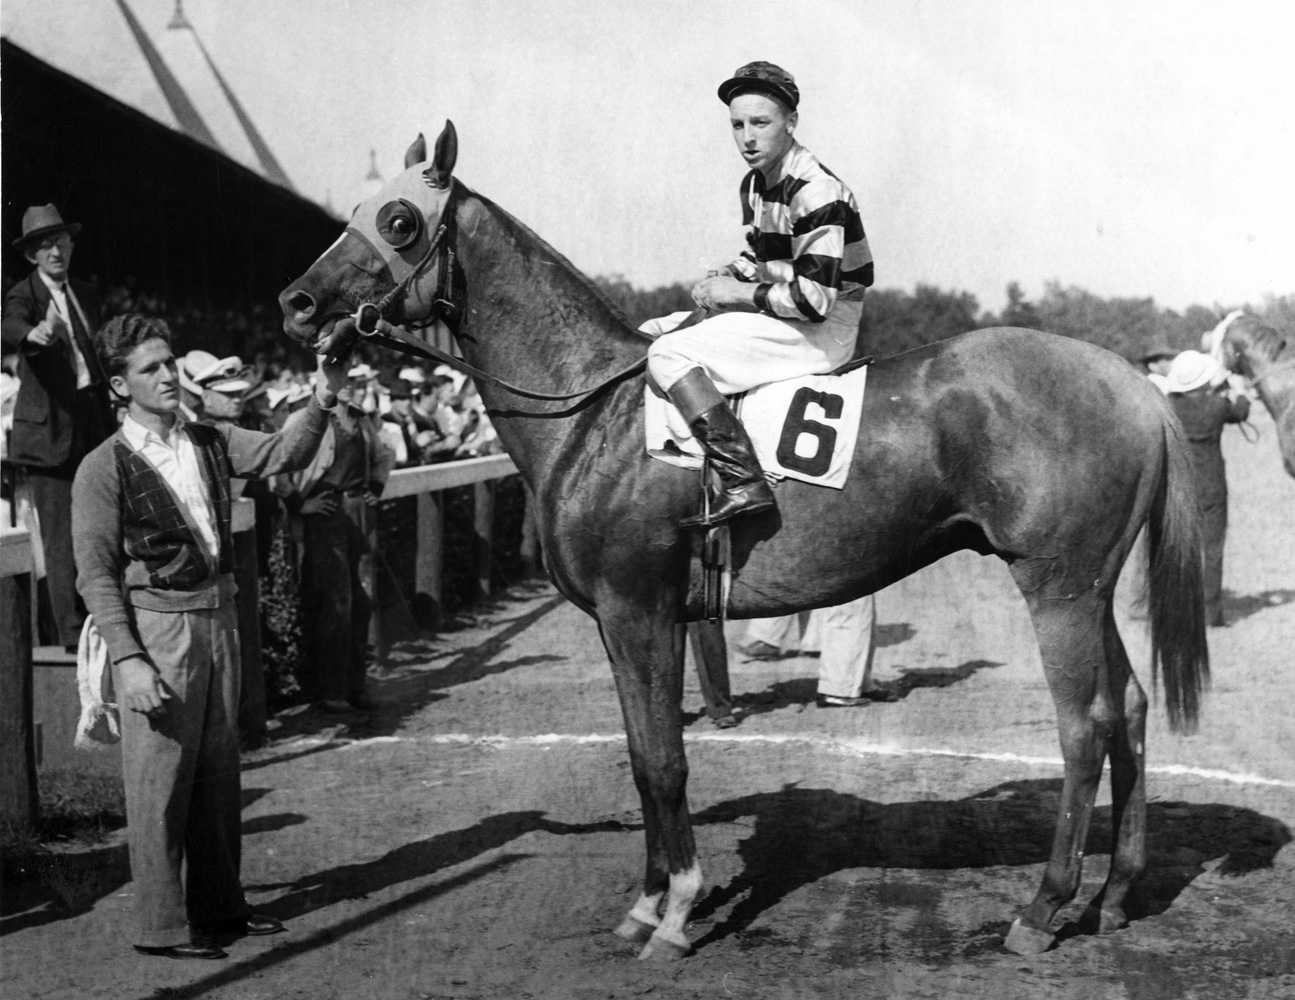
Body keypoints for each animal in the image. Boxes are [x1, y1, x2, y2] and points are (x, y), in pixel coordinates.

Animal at [278, 125, 1206, 958]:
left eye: (398, 219)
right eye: (355, 209)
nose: (295, 303)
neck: (591, 414)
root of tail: (1131, 380)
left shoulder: (640, 611)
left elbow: (664, 762)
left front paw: (678, 912)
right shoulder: (619, 623)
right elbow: (640, 754)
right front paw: (644, 906)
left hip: (1057, 587)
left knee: (1084, 727)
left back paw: (1042, 908)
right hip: (1092, 588)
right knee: (1128, 708)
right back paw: (1113, 895)